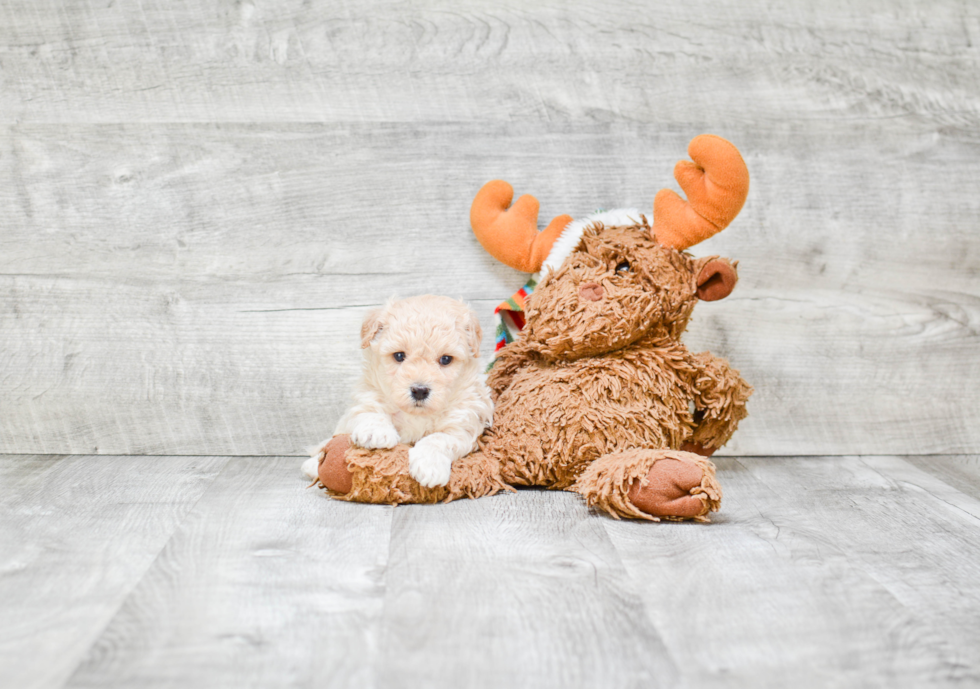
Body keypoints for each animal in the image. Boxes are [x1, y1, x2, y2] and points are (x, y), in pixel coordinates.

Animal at [300, 296, 490, 490]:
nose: (419, 391)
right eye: (399, 356)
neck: (416, 415)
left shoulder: (462, 427)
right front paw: (375, 432)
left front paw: (429, 467)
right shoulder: (367, 396)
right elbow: (370, 412)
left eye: (445, 359)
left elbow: (438, 439)